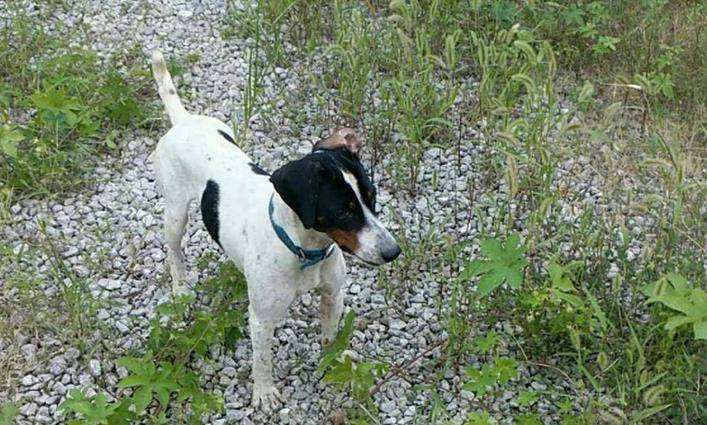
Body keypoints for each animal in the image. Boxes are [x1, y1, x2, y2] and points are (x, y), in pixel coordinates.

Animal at [150, 51, 402, 406]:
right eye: (343, 211)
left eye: (372, 196)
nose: (393, 252)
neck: (304, 250)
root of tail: (182, 120)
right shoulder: (261, 318)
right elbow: (262, 359)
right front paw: (264, 393)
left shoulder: (333, 295)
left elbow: (330, 339)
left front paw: (333, 367)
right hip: (174, 213)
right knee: (173, 251)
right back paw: (181, 288)